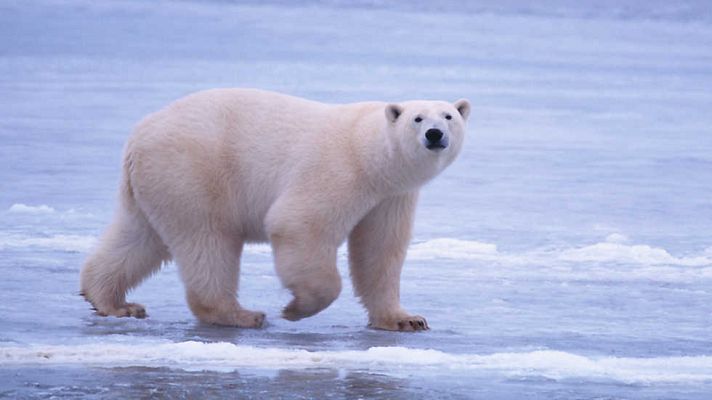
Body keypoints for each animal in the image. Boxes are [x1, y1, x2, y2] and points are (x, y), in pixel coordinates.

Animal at [80, 88, 470, 331]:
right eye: (417, 118)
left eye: (449, 116)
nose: (435, 134)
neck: (370, 152)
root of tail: (138, 137)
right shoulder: (340, 170)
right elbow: (298, 223)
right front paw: (296, 308)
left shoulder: (391, 196)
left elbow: (379, 251)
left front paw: (407, 319)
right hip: (193, 171)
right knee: (208, 241)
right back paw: (239, 314)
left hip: (155, 184)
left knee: (138, 237)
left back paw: (113, 302)